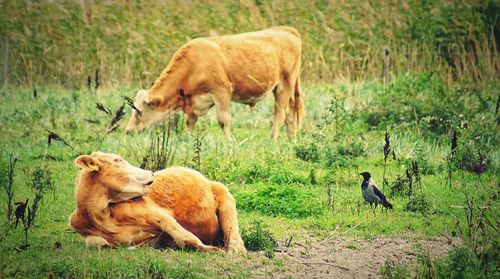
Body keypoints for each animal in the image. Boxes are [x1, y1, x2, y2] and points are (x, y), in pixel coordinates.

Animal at [69, 152, 246, 255]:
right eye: (117, 160)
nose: (152, 173)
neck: (102, 217)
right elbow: (94, 242)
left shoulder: (158, 213)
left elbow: (186, 238)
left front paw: (214, 250)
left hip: (224, 195)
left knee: (234, 236)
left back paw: (235, 250)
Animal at [125, 25, 304, 140]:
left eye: (139, 112)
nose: (128, 131)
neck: (193, 64)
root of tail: (286, 29)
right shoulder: (192, 101)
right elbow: (189, 123)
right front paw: (189, 140)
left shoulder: (221, 92)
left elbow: (223, 121)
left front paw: (230, 143)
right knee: (290, 113)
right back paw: (291, 141)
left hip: (284, 85)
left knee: (280, 114)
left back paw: (272, 140)